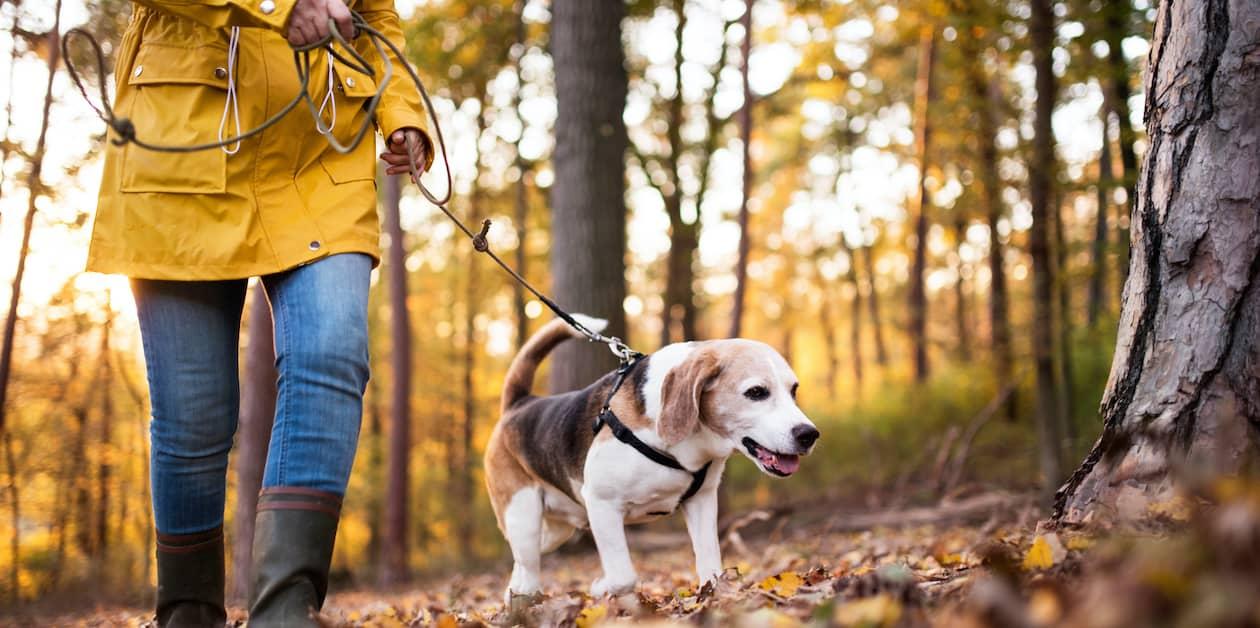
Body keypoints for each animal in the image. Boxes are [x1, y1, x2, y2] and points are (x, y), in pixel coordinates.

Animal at [478, 316, 816, 600]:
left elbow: (711, 566)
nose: (809, 434)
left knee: (522, 566)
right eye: (756, 392)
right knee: (528, 563)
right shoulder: (602, 503)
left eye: (794, 390)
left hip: (554, 531)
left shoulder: (702, 501)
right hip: (523, 516)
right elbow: (623, 576)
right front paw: (601, 587)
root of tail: (520, 403)